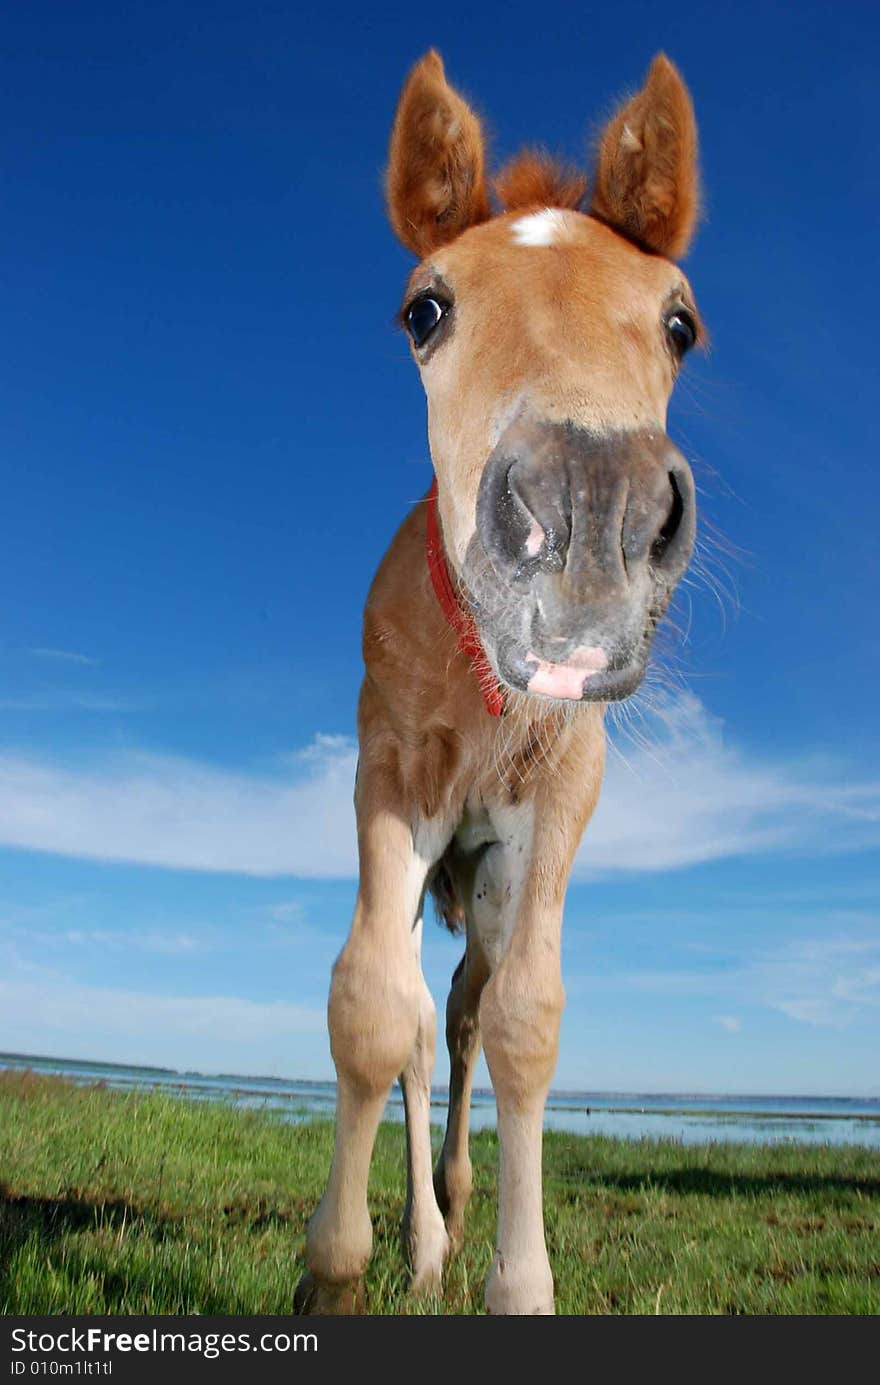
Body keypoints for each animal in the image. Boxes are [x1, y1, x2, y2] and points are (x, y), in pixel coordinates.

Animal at [296, 48, 701, 1312]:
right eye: (423, 308)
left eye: (681, 321)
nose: (589, 517)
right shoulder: (388, 781)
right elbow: (370, 1008)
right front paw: (336, 1263)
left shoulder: (557, 803)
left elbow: (526, 1019)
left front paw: (519, 1281)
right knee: (422, 1022)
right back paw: (421, 1240)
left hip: (481, 879)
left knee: (468, 1008)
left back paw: (457, 1203)